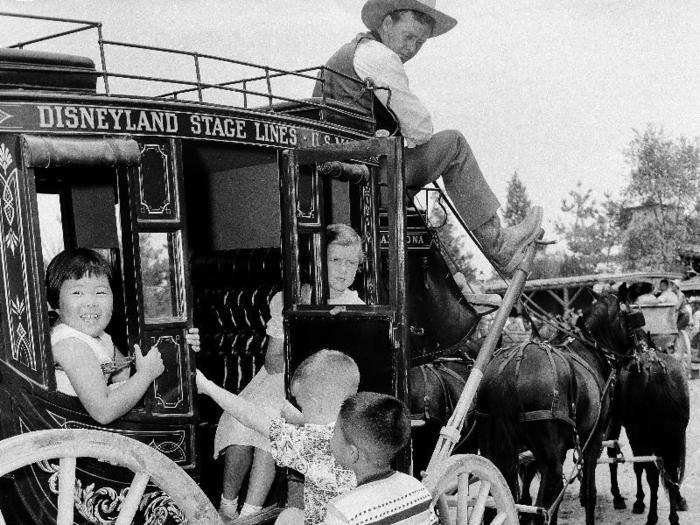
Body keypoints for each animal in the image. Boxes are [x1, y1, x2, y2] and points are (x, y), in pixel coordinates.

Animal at [476, 290, 636, 524]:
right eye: (632, 317)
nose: (636, 355)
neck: (588, 349)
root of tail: (508, 373)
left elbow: (554, 500)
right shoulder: (593, 440)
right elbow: (588, 494)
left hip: (496, 450)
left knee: (495, 501)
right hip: (548, 455)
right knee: (542, 505)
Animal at [604, 282, 692, 524]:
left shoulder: (633, 431)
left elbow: (639, 466)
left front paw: (639, 501)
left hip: (641, 432)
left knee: (648, 469)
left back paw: (648, 511)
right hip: (670, 434)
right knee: (668, 470)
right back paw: (670, 512)